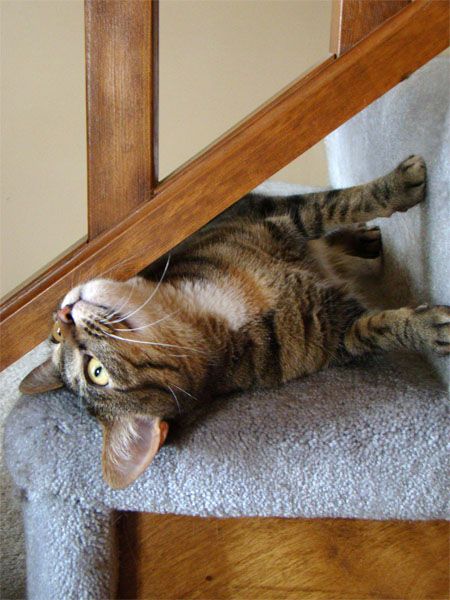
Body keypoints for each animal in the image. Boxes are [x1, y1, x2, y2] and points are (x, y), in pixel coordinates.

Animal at [21, 157, 450, 490]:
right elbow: (378, 329)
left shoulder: (277, 222)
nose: (63, 316)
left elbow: (331, 205)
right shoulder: (337, 332)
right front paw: (431, 328)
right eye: (98, 373)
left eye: (56, 337)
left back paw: (363, 239)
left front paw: (396, 187)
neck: (206, 308)